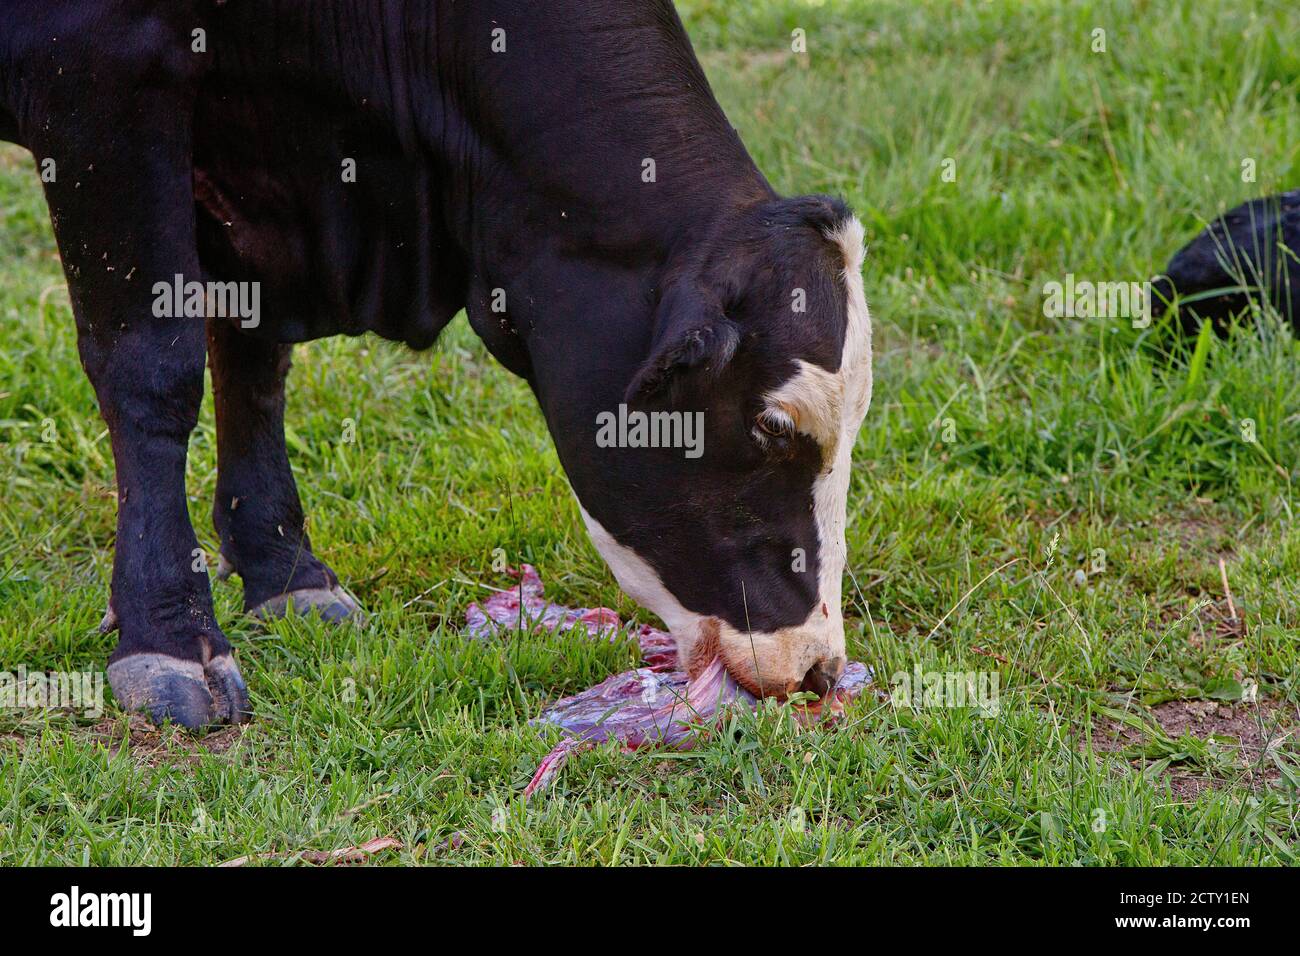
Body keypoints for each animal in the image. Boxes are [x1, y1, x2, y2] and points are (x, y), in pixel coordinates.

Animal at [0, 0, 873, 729]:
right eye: (770, 425)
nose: (820, 670)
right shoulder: (105, 77)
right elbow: (153, 364)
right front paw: (171, 633)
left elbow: (251, 357)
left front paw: (285, 571)